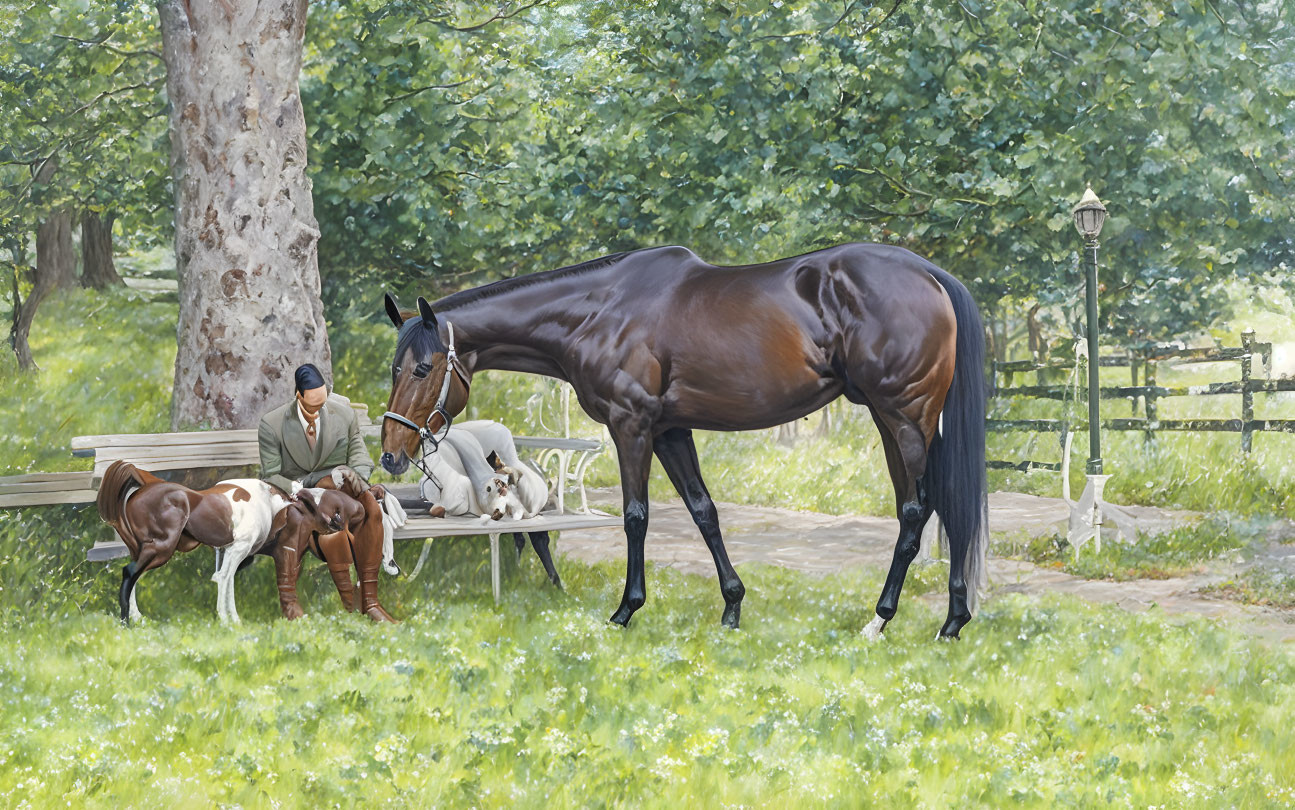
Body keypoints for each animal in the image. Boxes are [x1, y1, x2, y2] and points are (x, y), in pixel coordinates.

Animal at [378, 241, 984, 637]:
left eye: (423, 367)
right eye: (394, 366)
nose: (391, 455)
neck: (596, 310)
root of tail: (930, 274)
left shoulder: (631, 426)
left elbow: (636, 517)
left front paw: (626, 609)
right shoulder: (671, 430)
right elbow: (703, 511)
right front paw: (732, 608)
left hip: (904, 416)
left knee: (921, 510)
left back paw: (886, 618)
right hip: (895, 420)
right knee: (941, 508)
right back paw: (953, 618)